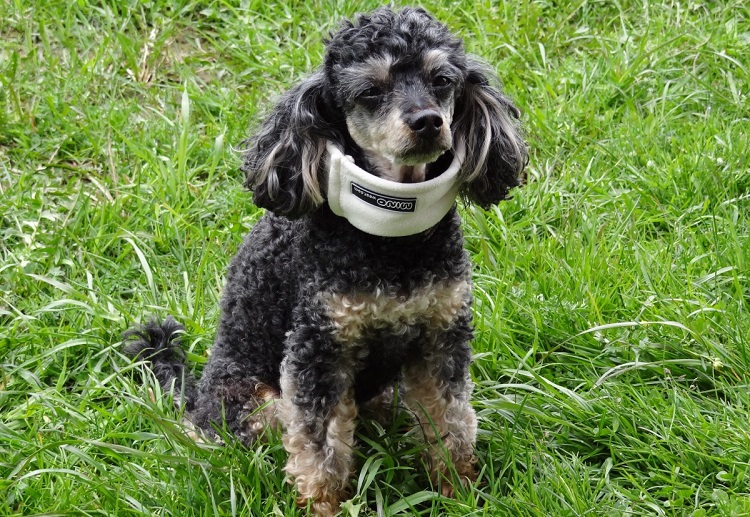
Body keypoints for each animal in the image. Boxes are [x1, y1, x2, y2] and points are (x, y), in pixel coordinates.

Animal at [125, 6, 528, 512]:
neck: (392, 242)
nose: (428, 121)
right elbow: (319, 451)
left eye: (442, 81)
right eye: (370, 90)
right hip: (257, 403)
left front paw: (459, 493)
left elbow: (450, 423)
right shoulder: (318, 352)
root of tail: (196, 398)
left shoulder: (442, 338)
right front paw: (324, 507)